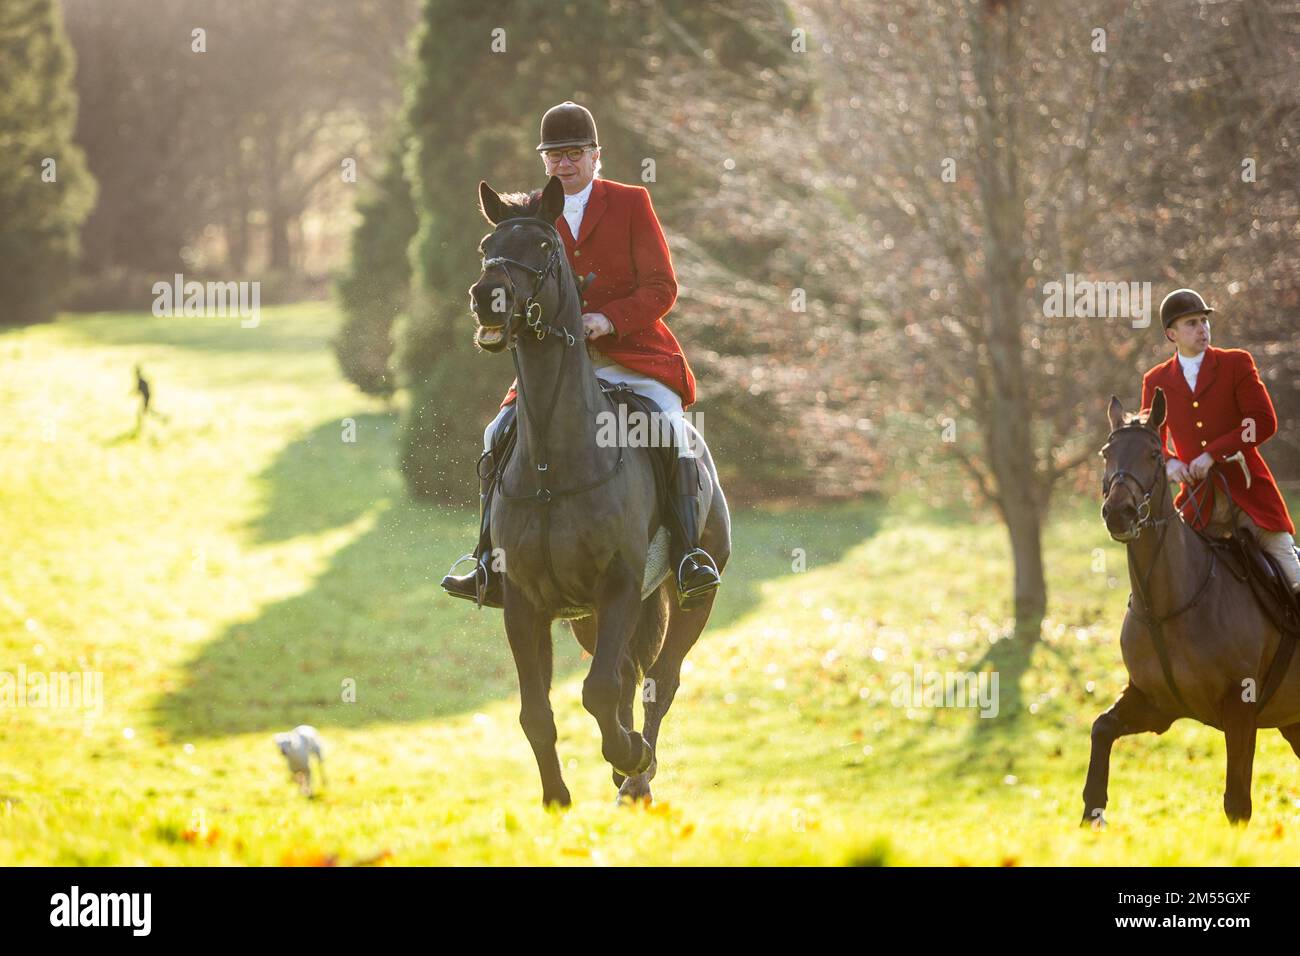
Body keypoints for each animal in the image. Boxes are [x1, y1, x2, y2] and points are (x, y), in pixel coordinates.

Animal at [467, 175, 733, 806]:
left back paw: (636, 774)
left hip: (690, 597)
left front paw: (629, 755)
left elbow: (597, 691)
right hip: (589, 616)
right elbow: (536, 712)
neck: (552, 467)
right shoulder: (525, 602)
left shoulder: (617, 585)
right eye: (488, 244)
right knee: (631, 677)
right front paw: (555, 801)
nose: (486, 296)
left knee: (659, 680)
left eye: (543, 246)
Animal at [1086, 390, 1300, 832]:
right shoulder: (1154, 703)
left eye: (1154, 454)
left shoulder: (1241, 710)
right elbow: (1101, 728)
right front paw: (1091, 813)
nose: (1119, 513)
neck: (1164, 606)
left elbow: (1237, 803)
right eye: (1106, 453)